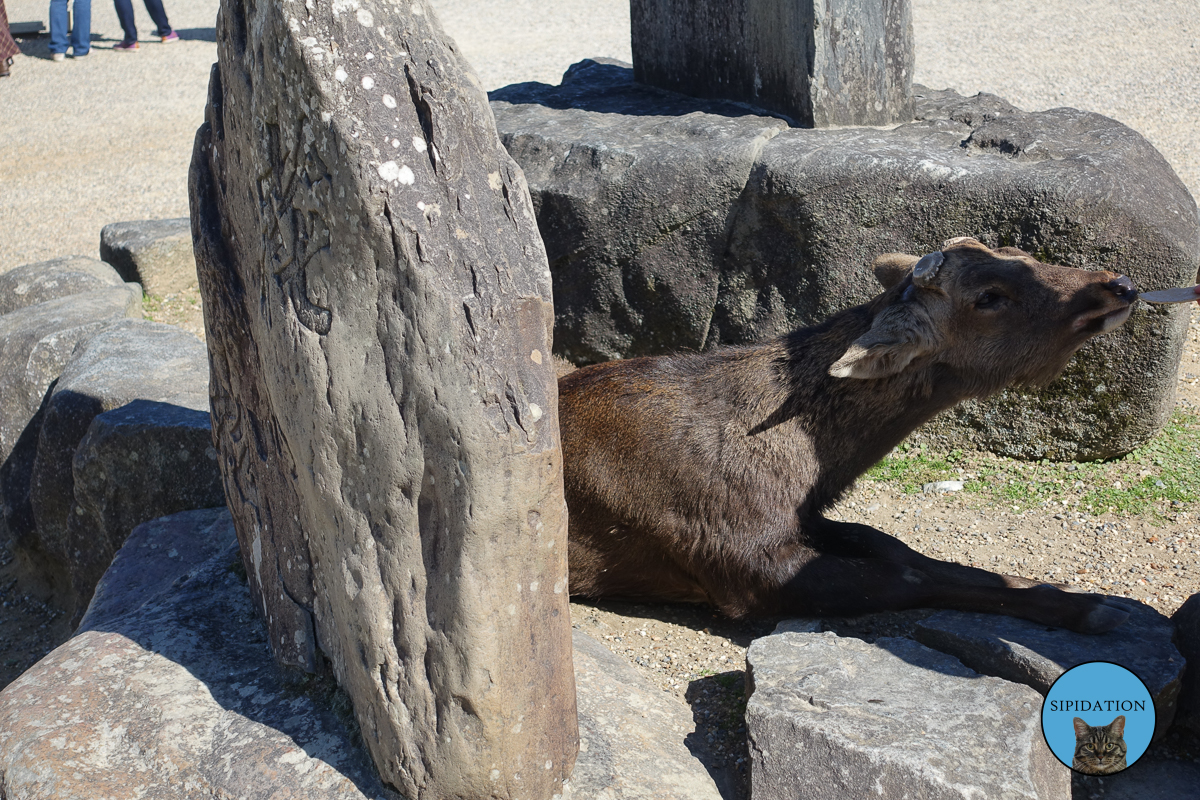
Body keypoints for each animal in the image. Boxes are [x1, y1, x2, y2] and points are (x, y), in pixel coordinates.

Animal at [556, 235, 1137, 633]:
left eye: (1018, 251)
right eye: (988, 297)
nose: (1120, 286)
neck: (804, 470)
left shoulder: (808, 518)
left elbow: (895, 546)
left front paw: (1069, 592)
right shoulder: (738, 557)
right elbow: (904, 578)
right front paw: (1090, 607)